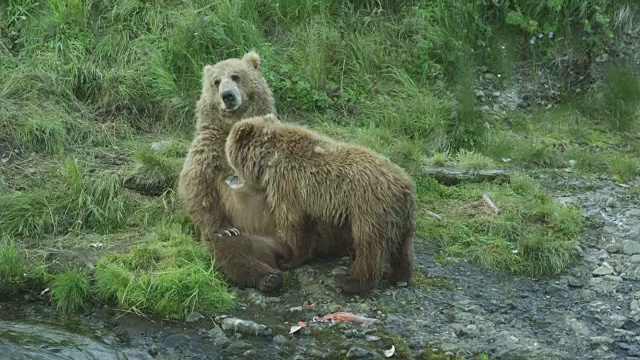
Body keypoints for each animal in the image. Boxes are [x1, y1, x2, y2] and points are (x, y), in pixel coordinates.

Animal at [224, 114, 416, 294]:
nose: (231, 177)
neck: (269, 161)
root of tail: (405, 187)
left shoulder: (287, 185)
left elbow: (293, 222)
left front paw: (289, 259)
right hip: (399, 218)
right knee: (403, 248)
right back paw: (400, 277)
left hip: (370, 209)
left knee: (370, 247)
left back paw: (351, 282)